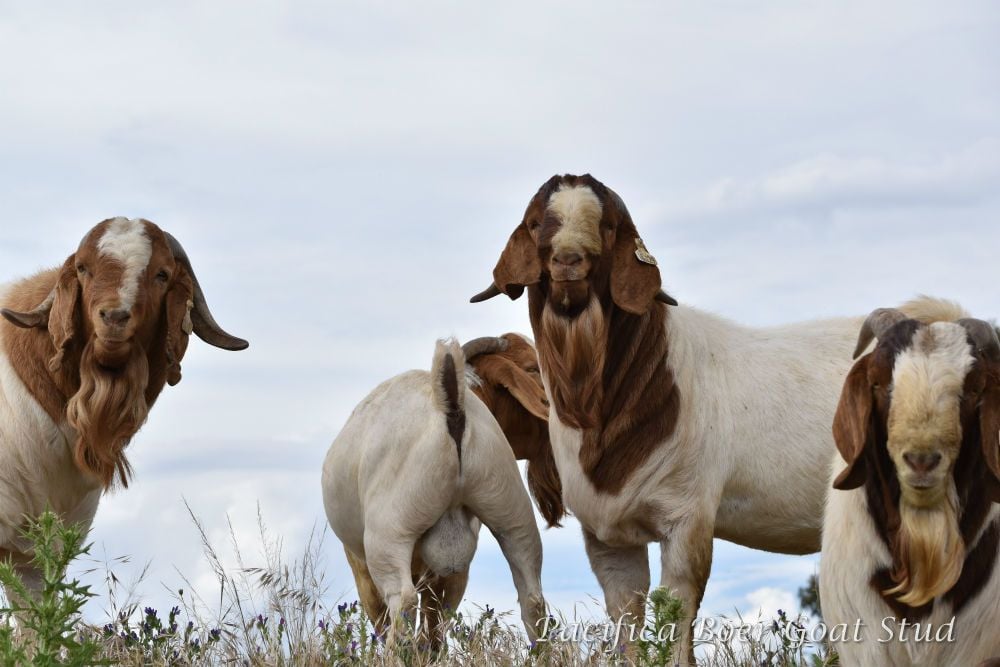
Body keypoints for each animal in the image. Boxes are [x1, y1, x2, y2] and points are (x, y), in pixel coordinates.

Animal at [321, 338, 547, 649]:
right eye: (532, 367)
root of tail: (449, 404)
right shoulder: (447, 576)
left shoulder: (360, 564)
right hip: (511, 511)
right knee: (532, 597)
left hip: (389, 532)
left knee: (402, 601)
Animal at [469, 173, 963, 664]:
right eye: (536, 223)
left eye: (607, 227)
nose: (568, 260)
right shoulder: (607, 537)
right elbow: (628, 623)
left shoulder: (687, 519)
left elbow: (677, 621)